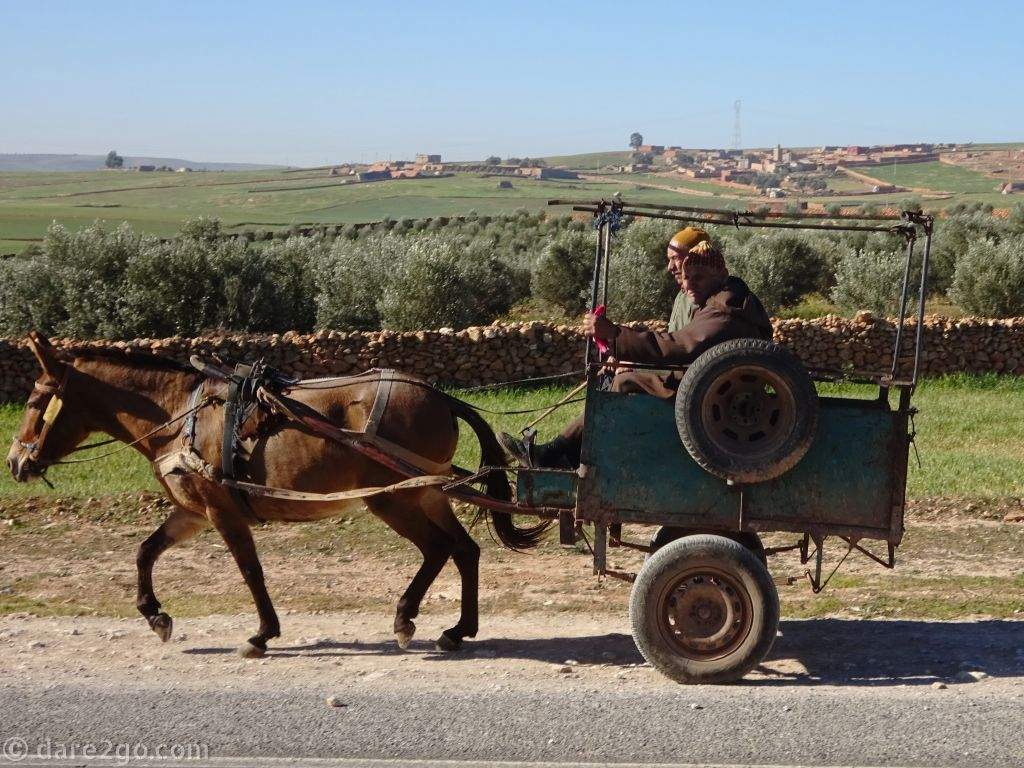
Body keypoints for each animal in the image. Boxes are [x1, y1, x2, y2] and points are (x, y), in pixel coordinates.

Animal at [7, 332, 548, 657]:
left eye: (35, 400)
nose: (14, 462)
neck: (179, 415)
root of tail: (440, 396)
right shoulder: (194, 511)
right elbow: (145, 551)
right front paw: (155, 615)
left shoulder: (222, 510)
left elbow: (251, 571)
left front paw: (262, 634)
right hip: (427, 491)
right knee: (464, 549)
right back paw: (457, 630)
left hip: (393, 499)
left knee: (439, 548)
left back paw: (406, 619)